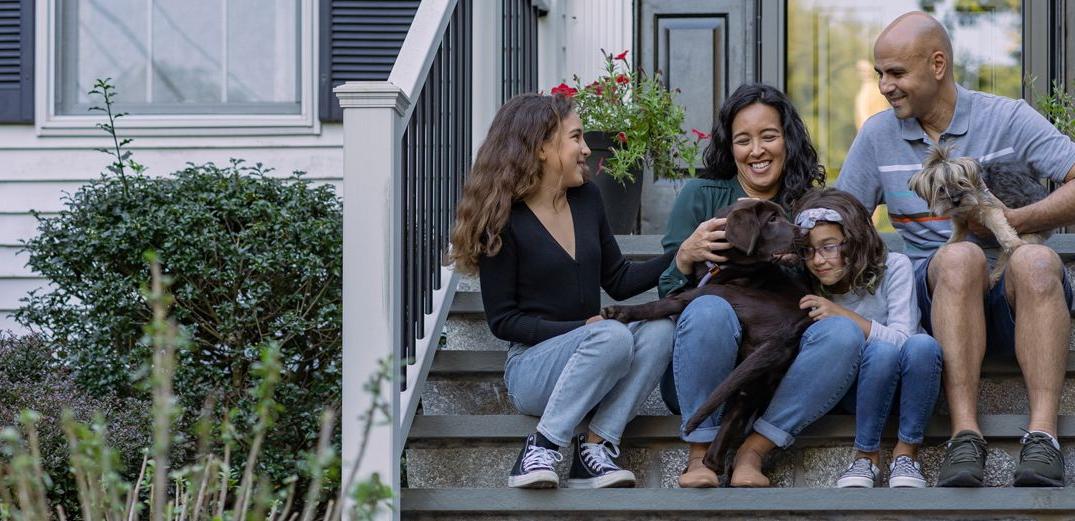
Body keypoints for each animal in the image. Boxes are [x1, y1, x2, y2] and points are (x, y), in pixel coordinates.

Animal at [907, 145, 1049, 283]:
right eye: (941, 189)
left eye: (961, 183)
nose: (956, 200)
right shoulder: (960, 222)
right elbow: (955, 238)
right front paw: (946, 246)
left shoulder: (990, 208)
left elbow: (1000, 227)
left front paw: (1013, 242)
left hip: (1030, 230)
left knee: (1007, 256)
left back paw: (994, 275)